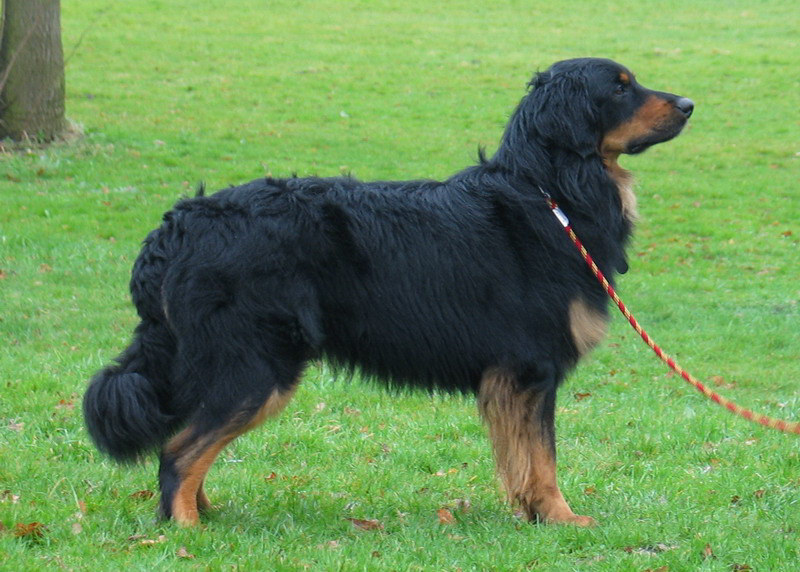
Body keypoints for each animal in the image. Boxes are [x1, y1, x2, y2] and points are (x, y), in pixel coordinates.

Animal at [84, 58, 693, 527]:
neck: (551, 191)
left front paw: (535, 515)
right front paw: (561, 519)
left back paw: (205, 513)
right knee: (178, 453)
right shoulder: (530, 369)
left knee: (189, 446)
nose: (688, 103)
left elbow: (523, 459)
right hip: (257, 368)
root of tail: (176, 227)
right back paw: (187, 530)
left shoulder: (515, 377)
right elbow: (542, 461)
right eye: (619, 87)